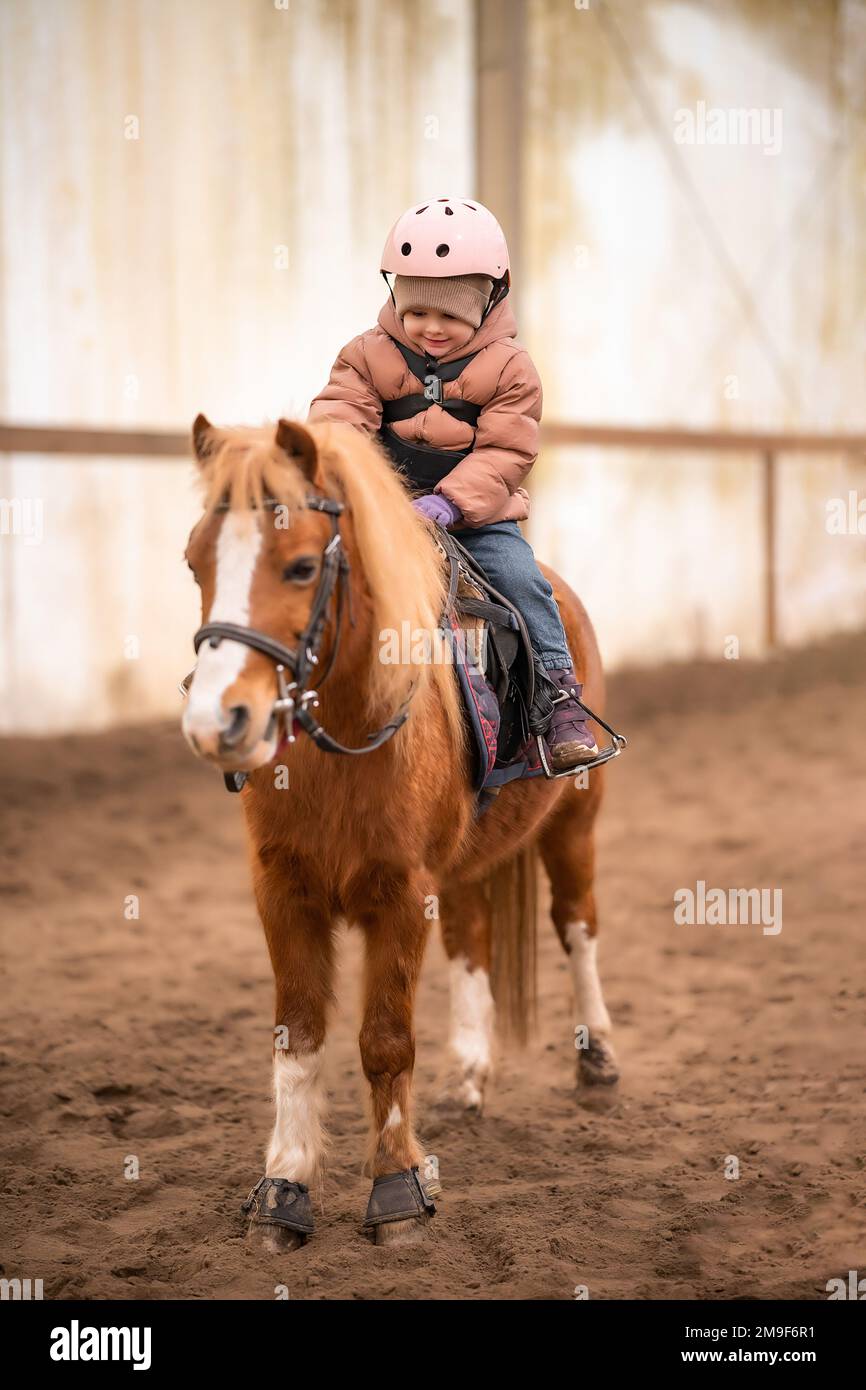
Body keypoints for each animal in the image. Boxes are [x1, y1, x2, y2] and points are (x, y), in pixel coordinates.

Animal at [181, 414, 619, 1248]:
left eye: (299, 567)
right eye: (195, 563)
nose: (216, 723)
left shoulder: (400, 890)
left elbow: (385, 1041)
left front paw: (398, 1192)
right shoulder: (282, 890)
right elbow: (298, 1038)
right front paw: (283, 1189)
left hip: (576, 821)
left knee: (577, 924)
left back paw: (598, 1060)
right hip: (467, 866)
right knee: (473, 939)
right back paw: (472, 1076)